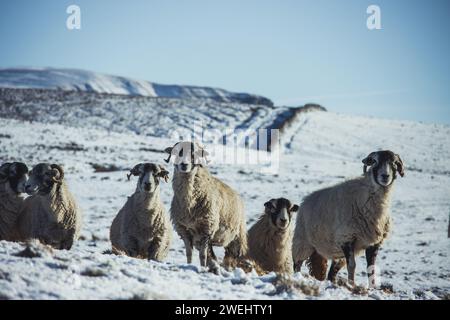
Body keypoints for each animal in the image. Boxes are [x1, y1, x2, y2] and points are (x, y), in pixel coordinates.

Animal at [292, 150, 404, 288]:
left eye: (394, 163)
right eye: (375, 161)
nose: (385, 176)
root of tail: (305, 200)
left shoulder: (374, 243)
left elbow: (371, 268)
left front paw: (372, 288)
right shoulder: (347, 238)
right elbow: (352, 266)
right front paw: (351, 285)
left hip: (335, 253)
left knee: (331, 274)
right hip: (302, 243)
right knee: (297, 265)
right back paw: (296, 277)